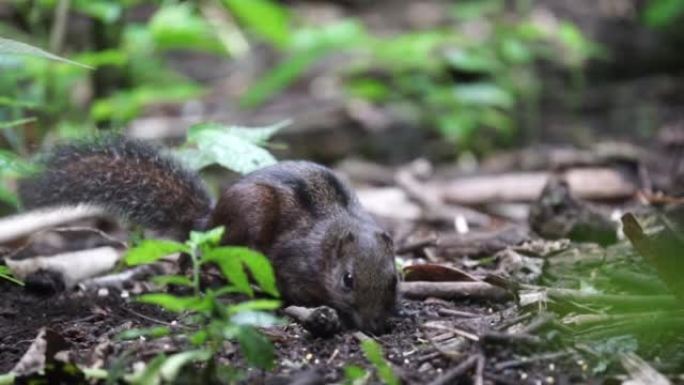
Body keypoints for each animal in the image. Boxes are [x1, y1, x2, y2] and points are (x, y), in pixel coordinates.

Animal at [20, 136, 400, 332]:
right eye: (348, 280)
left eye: (394, 279)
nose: (375, 326)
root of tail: (209, 221)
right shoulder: (293, 260)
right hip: (250, 217)